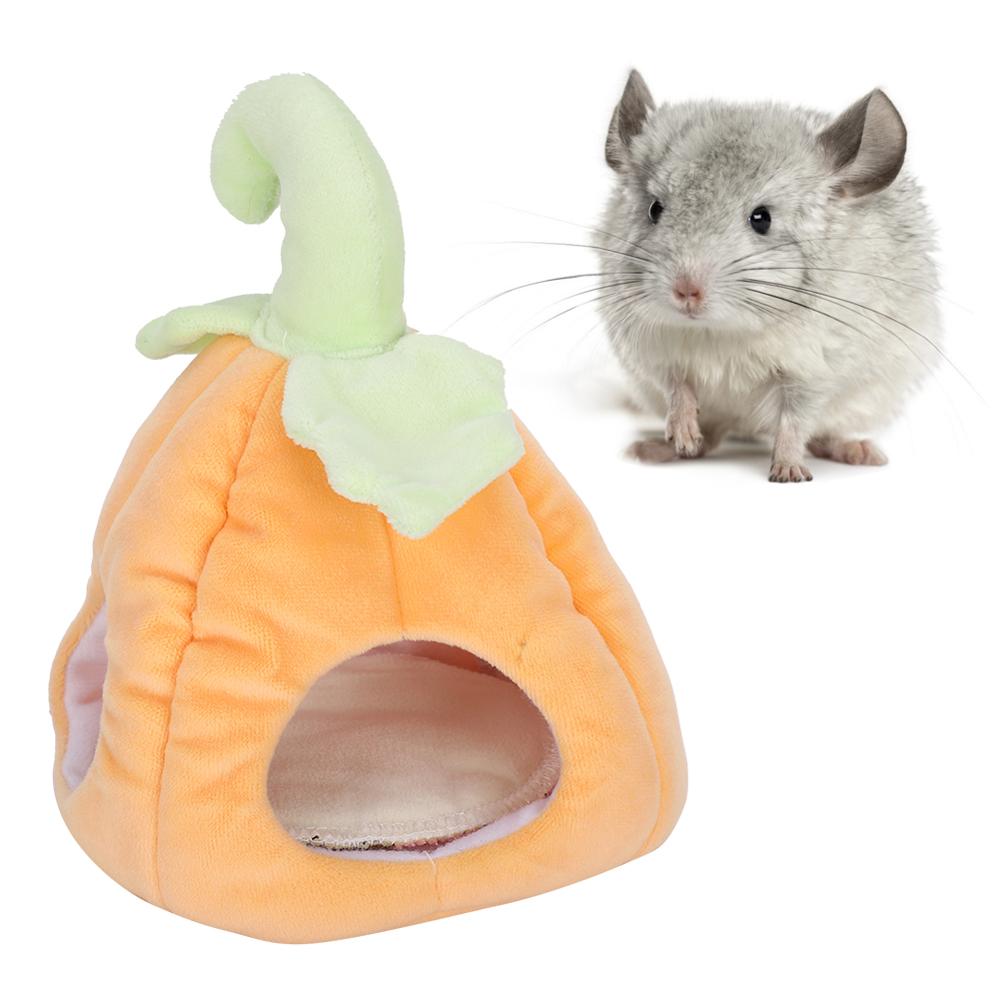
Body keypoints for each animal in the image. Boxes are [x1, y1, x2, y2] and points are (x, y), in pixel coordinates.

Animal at [597, 70, 941, 481]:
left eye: (762, 218)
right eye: (654, 209)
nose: (686, 291)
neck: (722, 330)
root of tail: (745, 428)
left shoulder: (814, 370)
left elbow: (795, 419)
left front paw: (789, 471)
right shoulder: (653, 352)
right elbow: (677, 385)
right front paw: (680, 432)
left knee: (819, 432)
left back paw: (855, 450)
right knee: (711, 438)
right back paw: (658, 450)